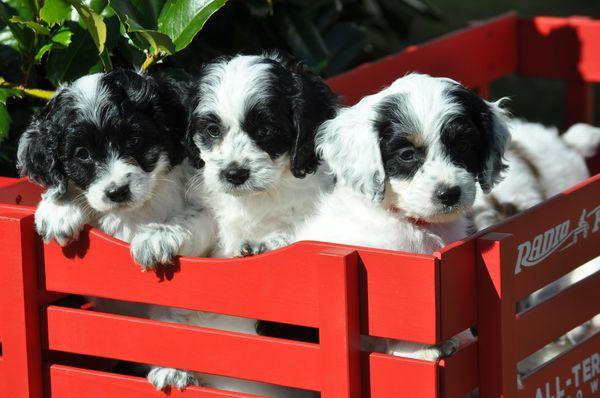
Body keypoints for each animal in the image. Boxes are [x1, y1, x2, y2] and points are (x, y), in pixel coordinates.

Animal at [16, 70, 218, 272]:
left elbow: (196, 216)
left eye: (134, 140)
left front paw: (157, 236)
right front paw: (60, 208)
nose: (117, 192)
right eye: (82, 153)